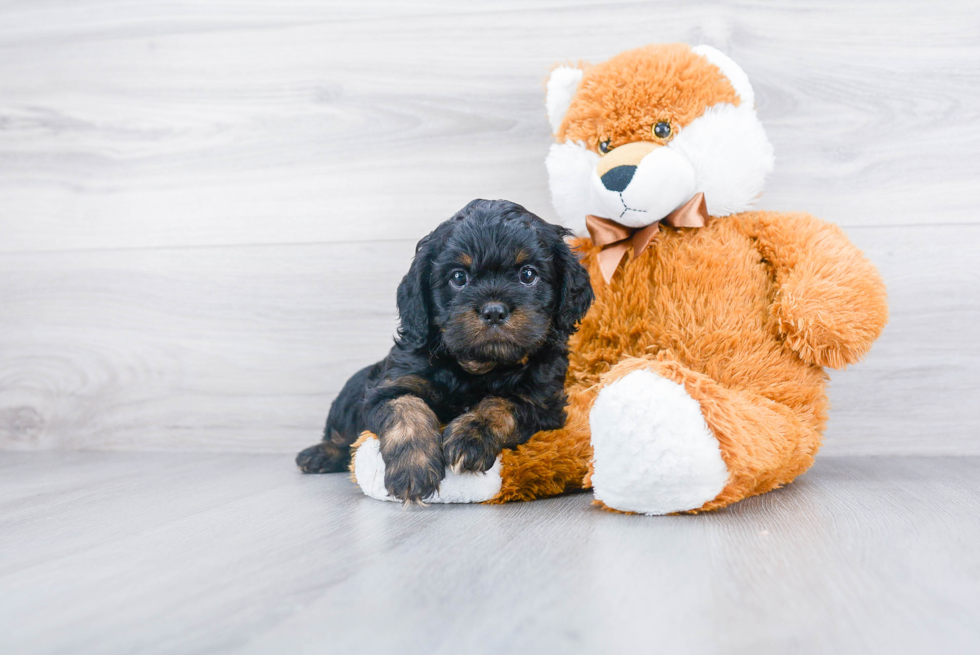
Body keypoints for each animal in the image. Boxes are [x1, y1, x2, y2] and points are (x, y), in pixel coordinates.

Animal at [294, 199, 592, 502]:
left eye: (528, 274)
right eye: (458, 277)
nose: (494, 311)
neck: (479, 367)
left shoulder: (543, 403)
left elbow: (503, 404)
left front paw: (470, 438)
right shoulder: (390, 387)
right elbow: (406, 408)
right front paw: (412, 467)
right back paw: (320, 454)